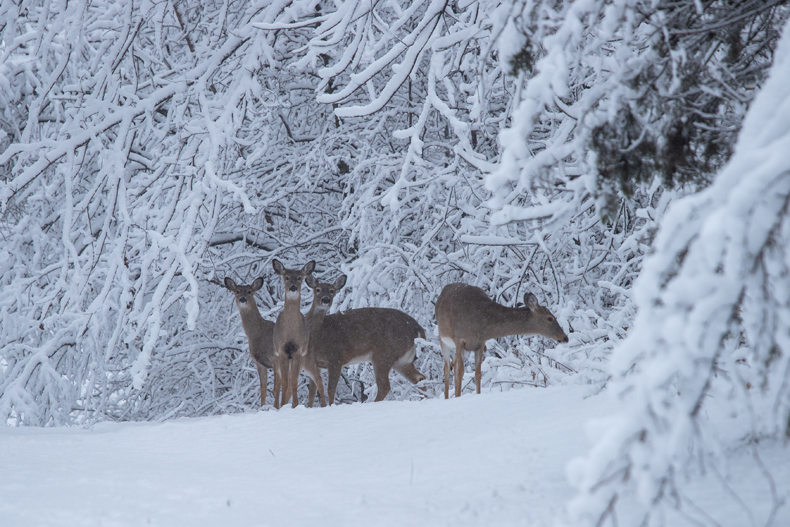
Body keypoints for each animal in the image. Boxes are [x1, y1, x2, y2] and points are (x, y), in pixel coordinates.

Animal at [224, 276, 279, 408]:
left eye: (249, 291)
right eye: (237, 291)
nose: (242, 299)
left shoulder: (276, 358)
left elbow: (276, 388)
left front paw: (277, 408)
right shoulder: (259, 363)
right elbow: (263, 389)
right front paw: (262, 408)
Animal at [271, 259, 326, 408]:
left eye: (300, 278)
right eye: (286, 277)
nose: (293, 287)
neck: (290, 331)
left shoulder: (298, 351)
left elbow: (294, 381)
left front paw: (294, 405)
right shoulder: (282, 350)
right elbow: (285, 382)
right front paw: (283, 406)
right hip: (276, 357)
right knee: (278, 383)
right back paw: (276, 405)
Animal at [302, 275, 427, 405]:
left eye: (332, 290)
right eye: (317, 289)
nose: (325, 300)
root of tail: (418, 328)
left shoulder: (336, 357)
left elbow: (330, 388)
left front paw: (330, 406)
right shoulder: (315, 364)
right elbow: (312, 392)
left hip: (384, 355)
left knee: (385, 386)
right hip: (402, 360)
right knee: (420, 378)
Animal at [435, 282, 569, 399]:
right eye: (550, 318)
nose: (565, 337)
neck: (481, 322)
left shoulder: (480, 343)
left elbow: (478, 374)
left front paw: (478, 395)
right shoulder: (459, 340)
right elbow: (460, 372)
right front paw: (458, 397)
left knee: (453, 364)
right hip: (443, 339)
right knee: (446, 368)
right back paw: (447, 398)